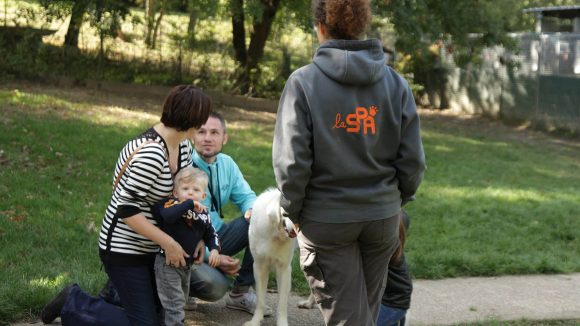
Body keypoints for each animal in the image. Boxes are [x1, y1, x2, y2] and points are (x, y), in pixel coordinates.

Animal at [244, 188, 296, 326]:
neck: (275, 234)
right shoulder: (259, 266)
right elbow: (260, 300)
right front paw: (255, 321)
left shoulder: (284, 269)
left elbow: (282, 303)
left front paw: (282, 323)